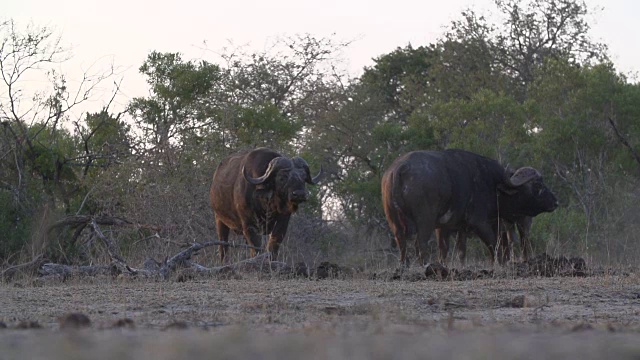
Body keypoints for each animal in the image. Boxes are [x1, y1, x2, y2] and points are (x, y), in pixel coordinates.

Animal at [382, 148, 556, 264]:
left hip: (394, 221)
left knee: (402, 242)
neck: (493, 184)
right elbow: (493, 244)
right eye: (538, 185)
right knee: (420, 244)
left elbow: (454, 250)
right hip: (425, 221)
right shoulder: (479, 223)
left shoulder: (452, 227)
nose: (555, 201)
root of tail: (400, 168)